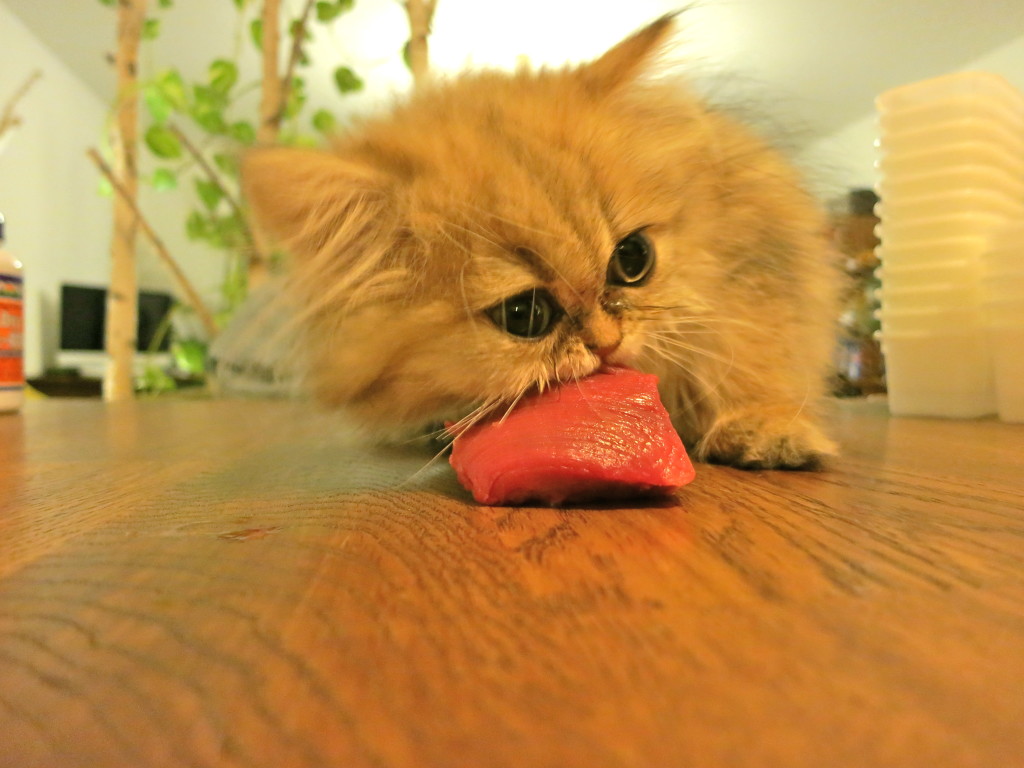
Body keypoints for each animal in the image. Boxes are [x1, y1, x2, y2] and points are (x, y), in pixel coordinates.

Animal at [241, 16, 839, 468]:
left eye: (634, 260)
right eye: (524, 314)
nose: (607, 343)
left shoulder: (750, 268)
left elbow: (754, 356)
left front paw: (765, 428)